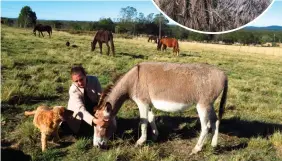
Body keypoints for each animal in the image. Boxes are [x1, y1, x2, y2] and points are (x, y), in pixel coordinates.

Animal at [91, 62, 228, 155]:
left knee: (205, 127)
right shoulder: (149, 104)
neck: (134, 80)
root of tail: (223, 74)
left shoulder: (142, 103)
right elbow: (151, 119)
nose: (96, 146)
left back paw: (196, 149)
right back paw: (214, 145)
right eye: (94, 124)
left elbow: (143, 122)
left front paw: (140, 142)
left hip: (203, 105)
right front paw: (155, 136)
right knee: (215, 121)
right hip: (209, 105)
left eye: (103, 125)